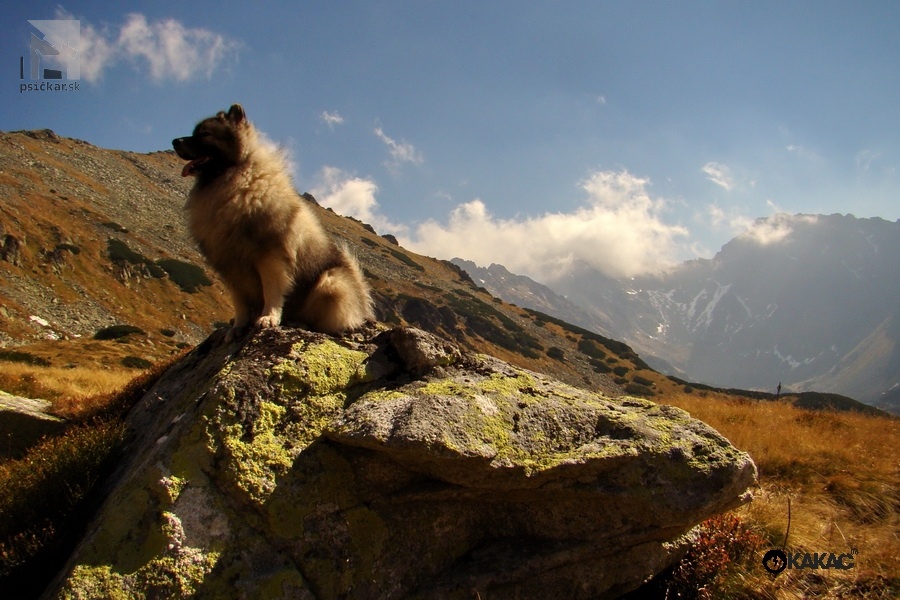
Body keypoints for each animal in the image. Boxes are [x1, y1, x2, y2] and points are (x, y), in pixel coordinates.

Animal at [172, 106, 372, 340]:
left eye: (205, 134)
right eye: (194, 132)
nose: (175, 141)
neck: (235, 178)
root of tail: (361, 298)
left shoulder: (271, 258)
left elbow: (272, 292)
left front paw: (268, 317)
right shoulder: (231, 267)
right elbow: (240, 303)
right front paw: (237, 327)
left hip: (330, 283)